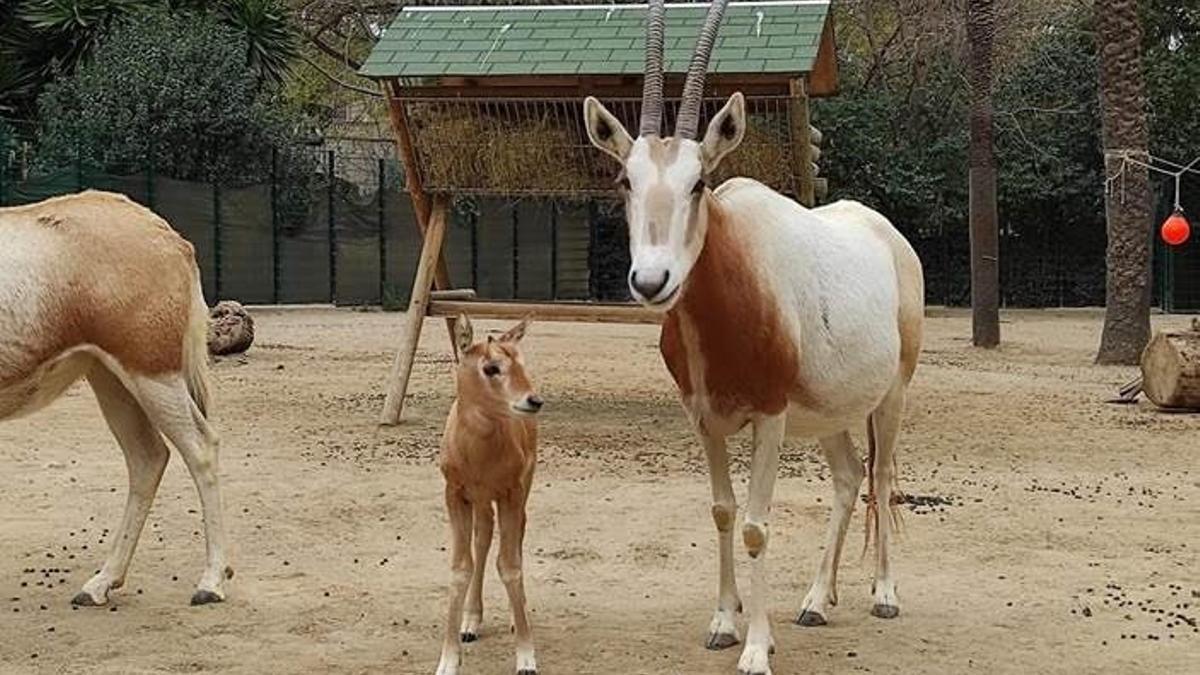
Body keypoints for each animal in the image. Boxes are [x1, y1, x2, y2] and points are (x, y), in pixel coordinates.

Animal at [0, 189, 229, 605]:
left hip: (150, 373)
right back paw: (101, 584)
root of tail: (170, 238)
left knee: (200, 447)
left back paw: (210, 582)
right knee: (147, 457)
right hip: (111, 379)